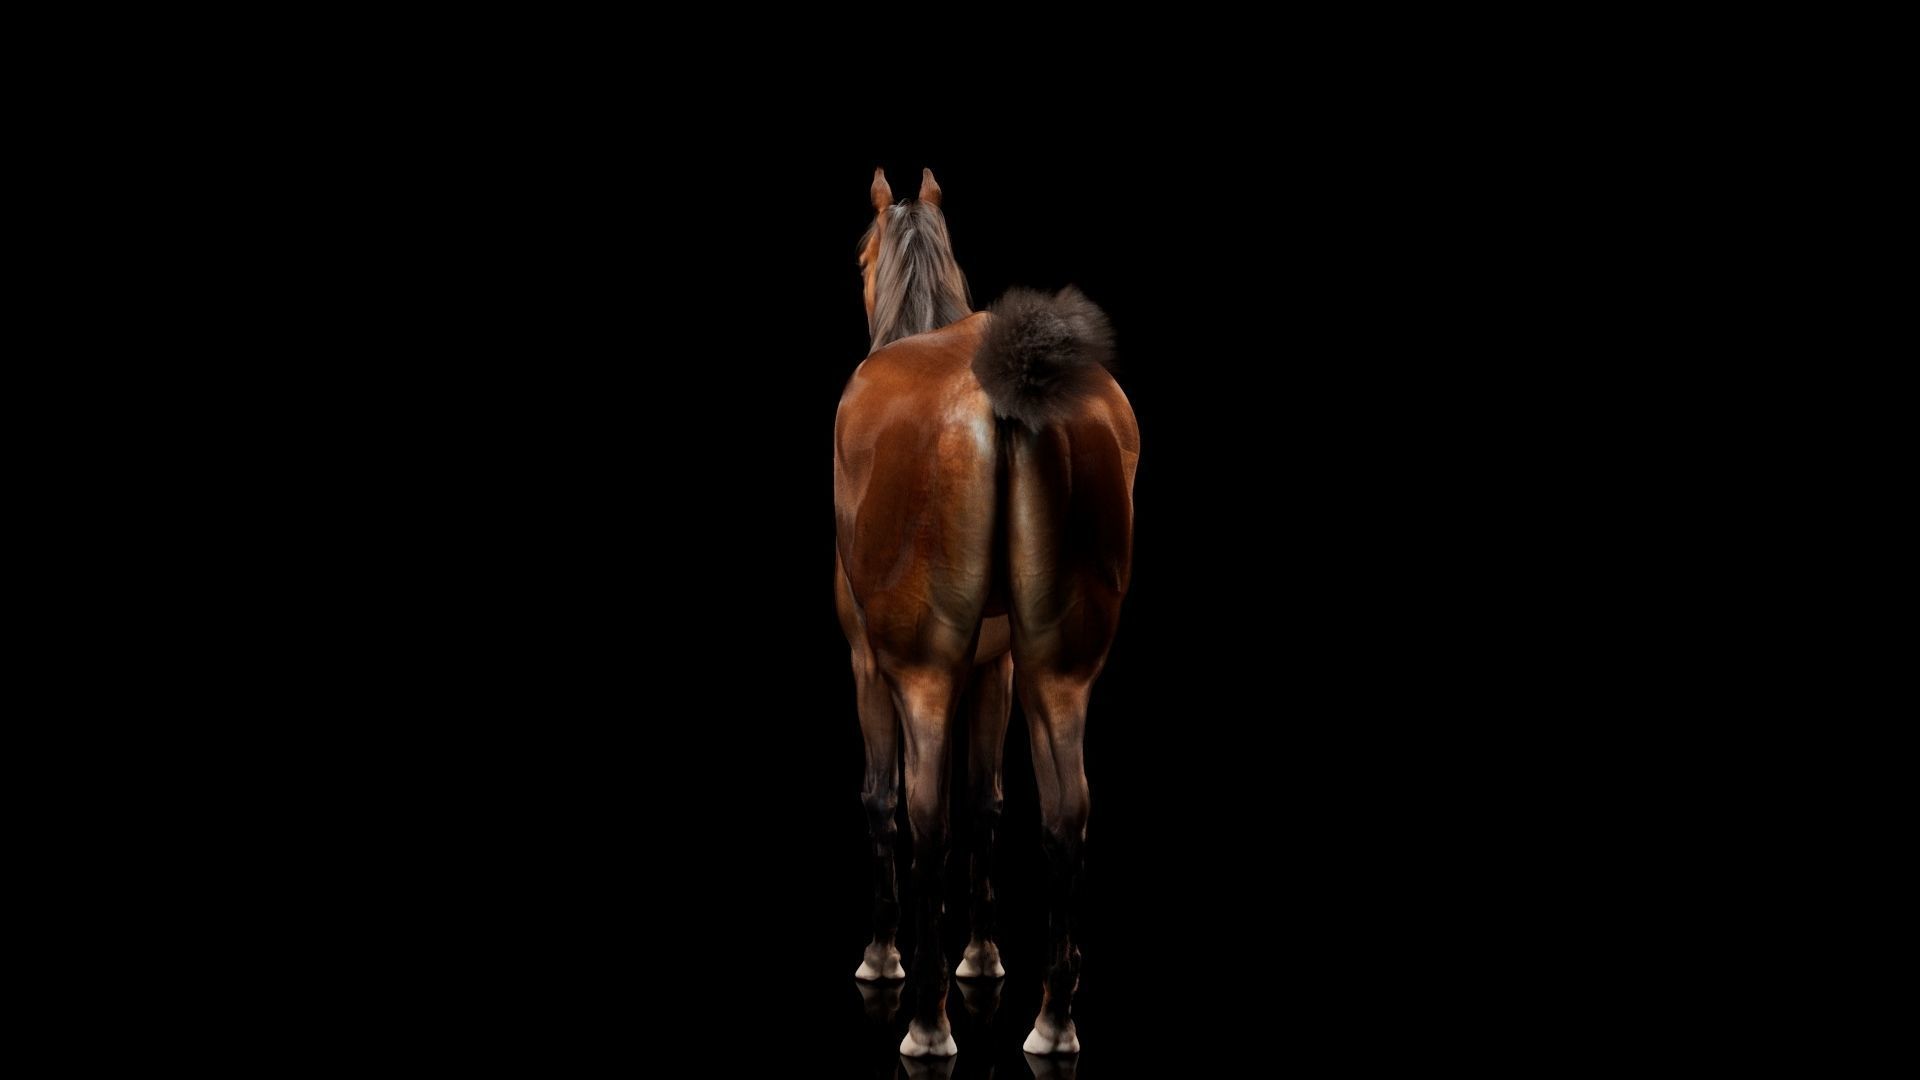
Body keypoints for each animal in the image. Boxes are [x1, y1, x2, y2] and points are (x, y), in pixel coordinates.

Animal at [834, 167, 1139, 1058]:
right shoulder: (997, 664)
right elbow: (991, 803)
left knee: (922, 812)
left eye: (859, 254)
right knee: (1067, 813)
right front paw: (985, 955)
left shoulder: (869, 661)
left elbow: (887, 801)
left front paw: (887, 957)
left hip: (924, 675)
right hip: (1056, 675)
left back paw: (928, 1022)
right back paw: (1054, 1019)